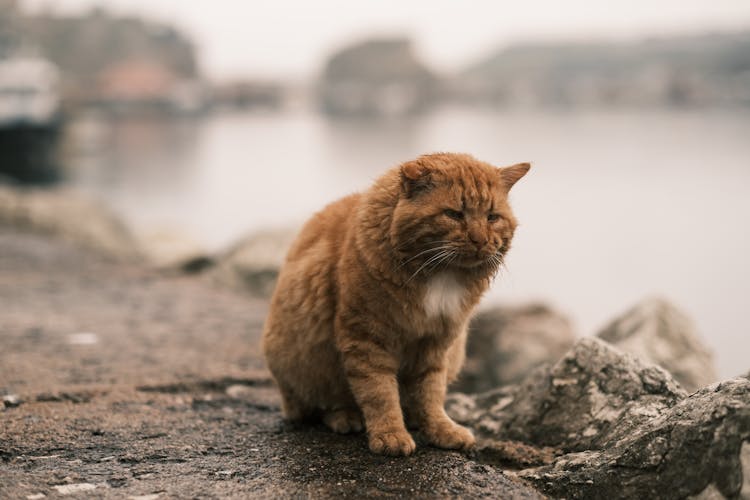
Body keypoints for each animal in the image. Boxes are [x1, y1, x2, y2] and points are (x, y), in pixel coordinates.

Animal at [262, 153, 532, 458]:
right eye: (454, 214)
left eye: (492, 217)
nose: (480, 240)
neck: (441, 274)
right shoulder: (367, 339)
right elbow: (379, 392)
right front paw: (390, 434)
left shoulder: (437, 343)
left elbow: (430, 392)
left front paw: (439, 429)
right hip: (302, 364)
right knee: (318, 404)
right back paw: (346, 417)